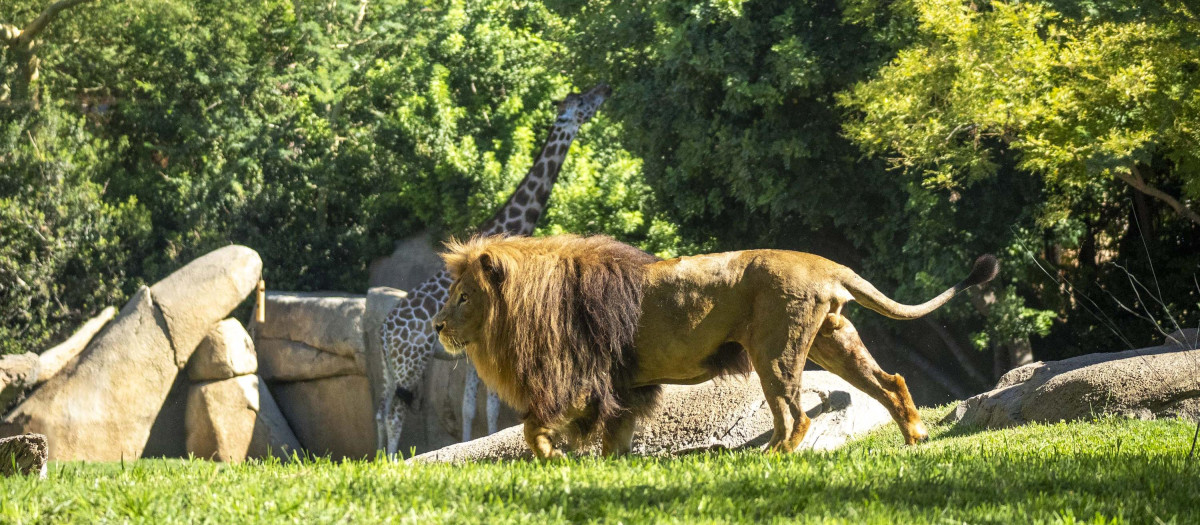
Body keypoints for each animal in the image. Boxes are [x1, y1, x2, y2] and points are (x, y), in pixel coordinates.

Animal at [377, 83, 612, 456]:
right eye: (582, 102)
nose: (605, 89)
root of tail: (385, 332)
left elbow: (471, 405)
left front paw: (470, 443)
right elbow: (488, 403)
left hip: (389, 367)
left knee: (380, 410)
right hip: (409, 362)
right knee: (394, 413)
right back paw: (392, 459)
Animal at [433, 234, 998, 458]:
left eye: (462, 296)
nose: (436, 325)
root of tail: (824, 264)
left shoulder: (579, 378)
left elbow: (535, 427)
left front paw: (553, 458)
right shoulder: (622, 386)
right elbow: (614, 434)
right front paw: (607, 464)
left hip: (775, 350)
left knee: (797, 414)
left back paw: (776, 456)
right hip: (831, 341)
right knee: (889, 381)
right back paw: (915, 436)